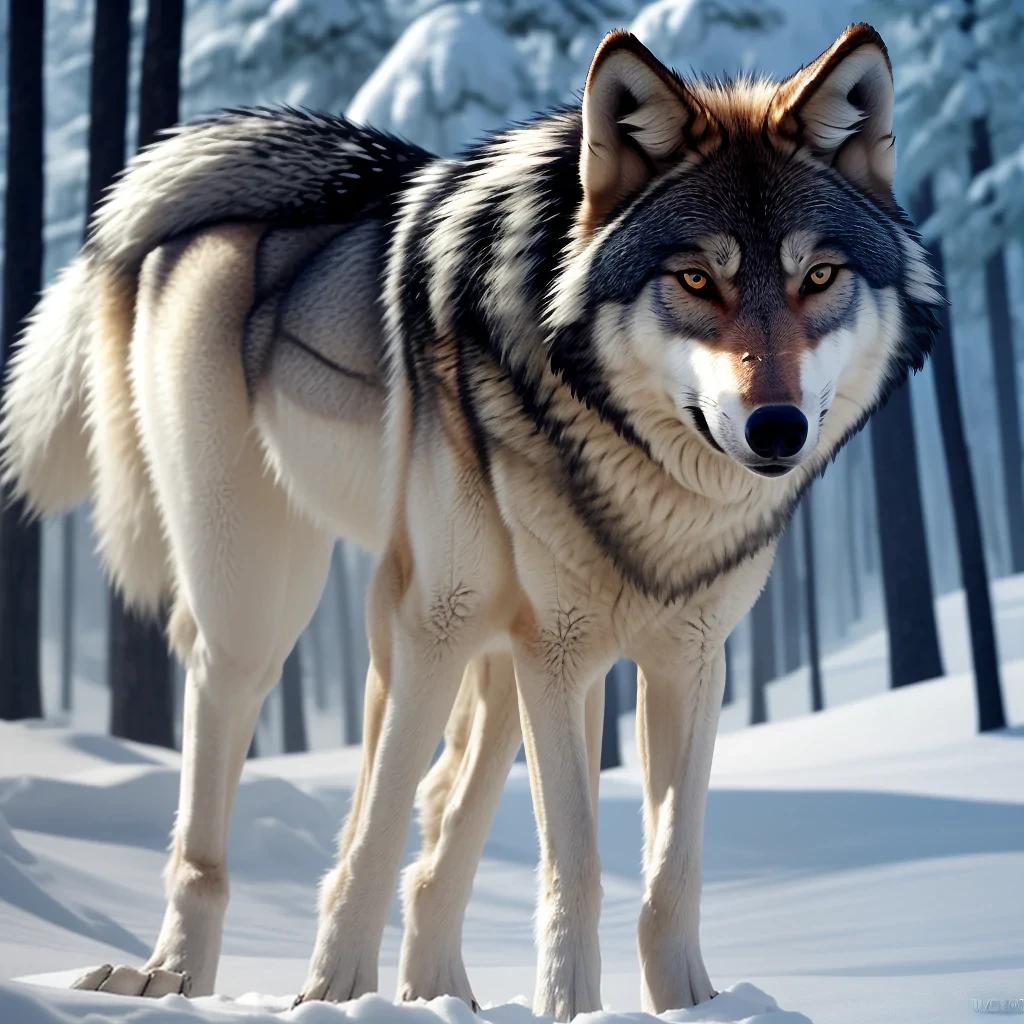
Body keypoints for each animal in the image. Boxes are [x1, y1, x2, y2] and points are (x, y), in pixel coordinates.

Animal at [1, 23, 940, 1019]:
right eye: (695, 279)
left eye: (819, 276)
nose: (777, 428)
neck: (640, 475)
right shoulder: (553, 650)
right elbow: (568, 865)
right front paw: (539, 1007)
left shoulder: (684, 658)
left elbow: (669, 875)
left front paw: (687, 1003)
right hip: (296, 613)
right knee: (279, 817)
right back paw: (189, 981)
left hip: (469, 635)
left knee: (426, 836)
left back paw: (429, 993)